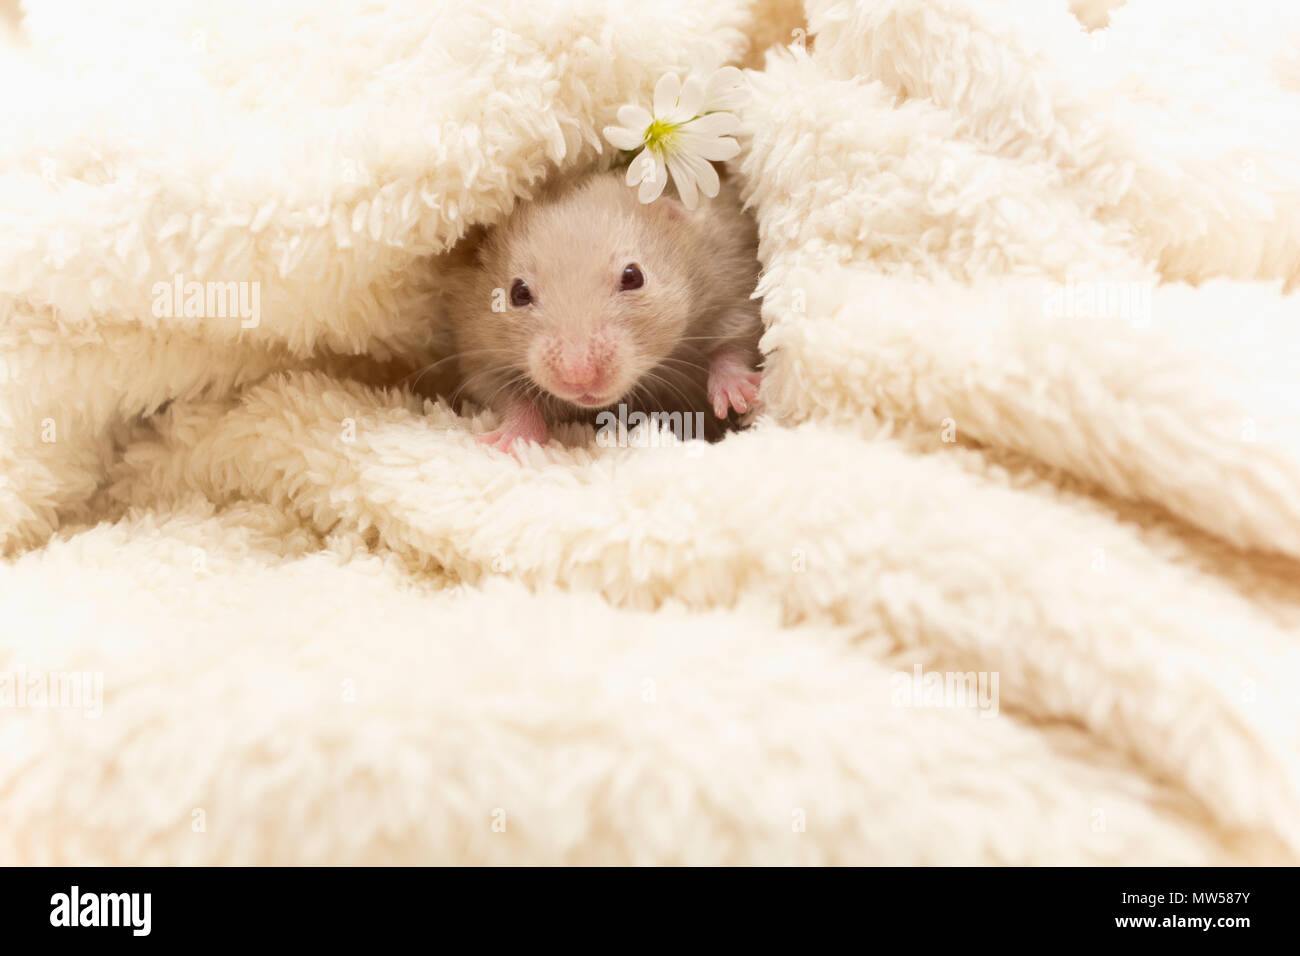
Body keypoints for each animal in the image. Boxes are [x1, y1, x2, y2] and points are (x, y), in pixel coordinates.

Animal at [440, 170, 763, 451]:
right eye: (518, 293)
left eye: (633, 276)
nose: (579, 376)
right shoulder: (479, 355)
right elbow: (512, 398)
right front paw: (507, 443)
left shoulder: (732, 276)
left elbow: (736, 341)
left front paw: (739, 397)